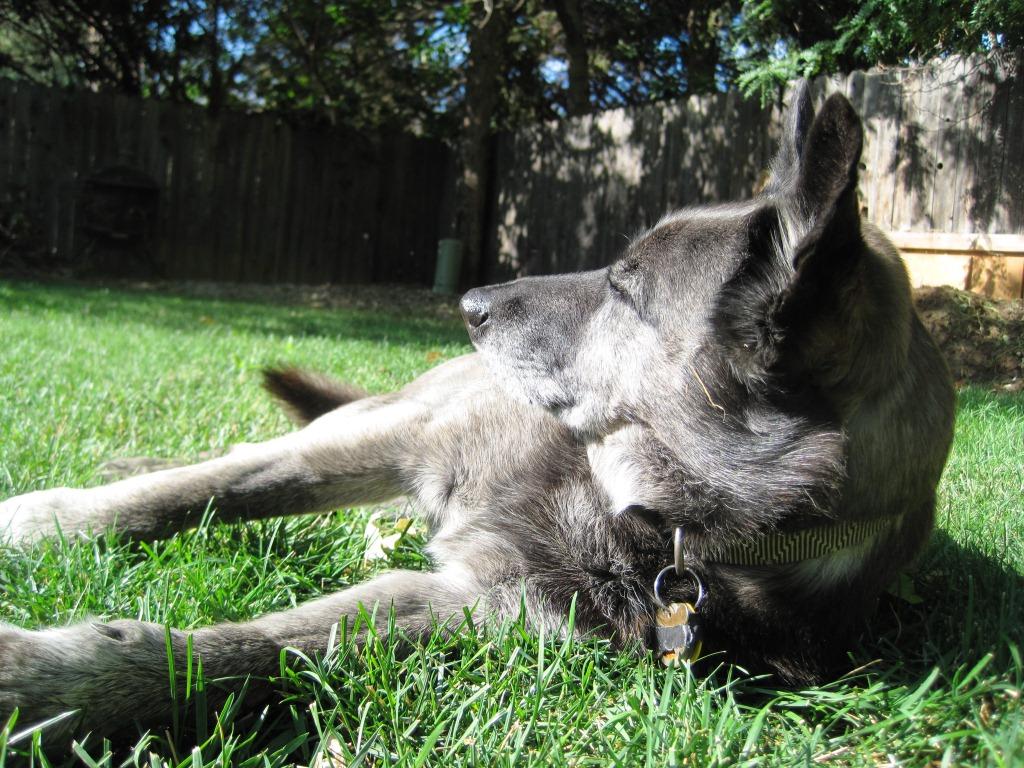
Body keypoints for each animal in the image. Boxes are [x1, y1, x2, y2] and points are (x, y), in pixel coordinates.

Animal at [0, 85, 955, 738]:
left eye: (625, 289)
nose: (470, 304)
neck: (628, 504)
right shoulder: (403, 438)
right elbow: (185, 496)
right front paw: (41, 525)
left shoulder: (473, 604)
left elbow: (255, 650)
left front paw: (59, 682)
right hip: (383, 416)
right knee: (236, 455)